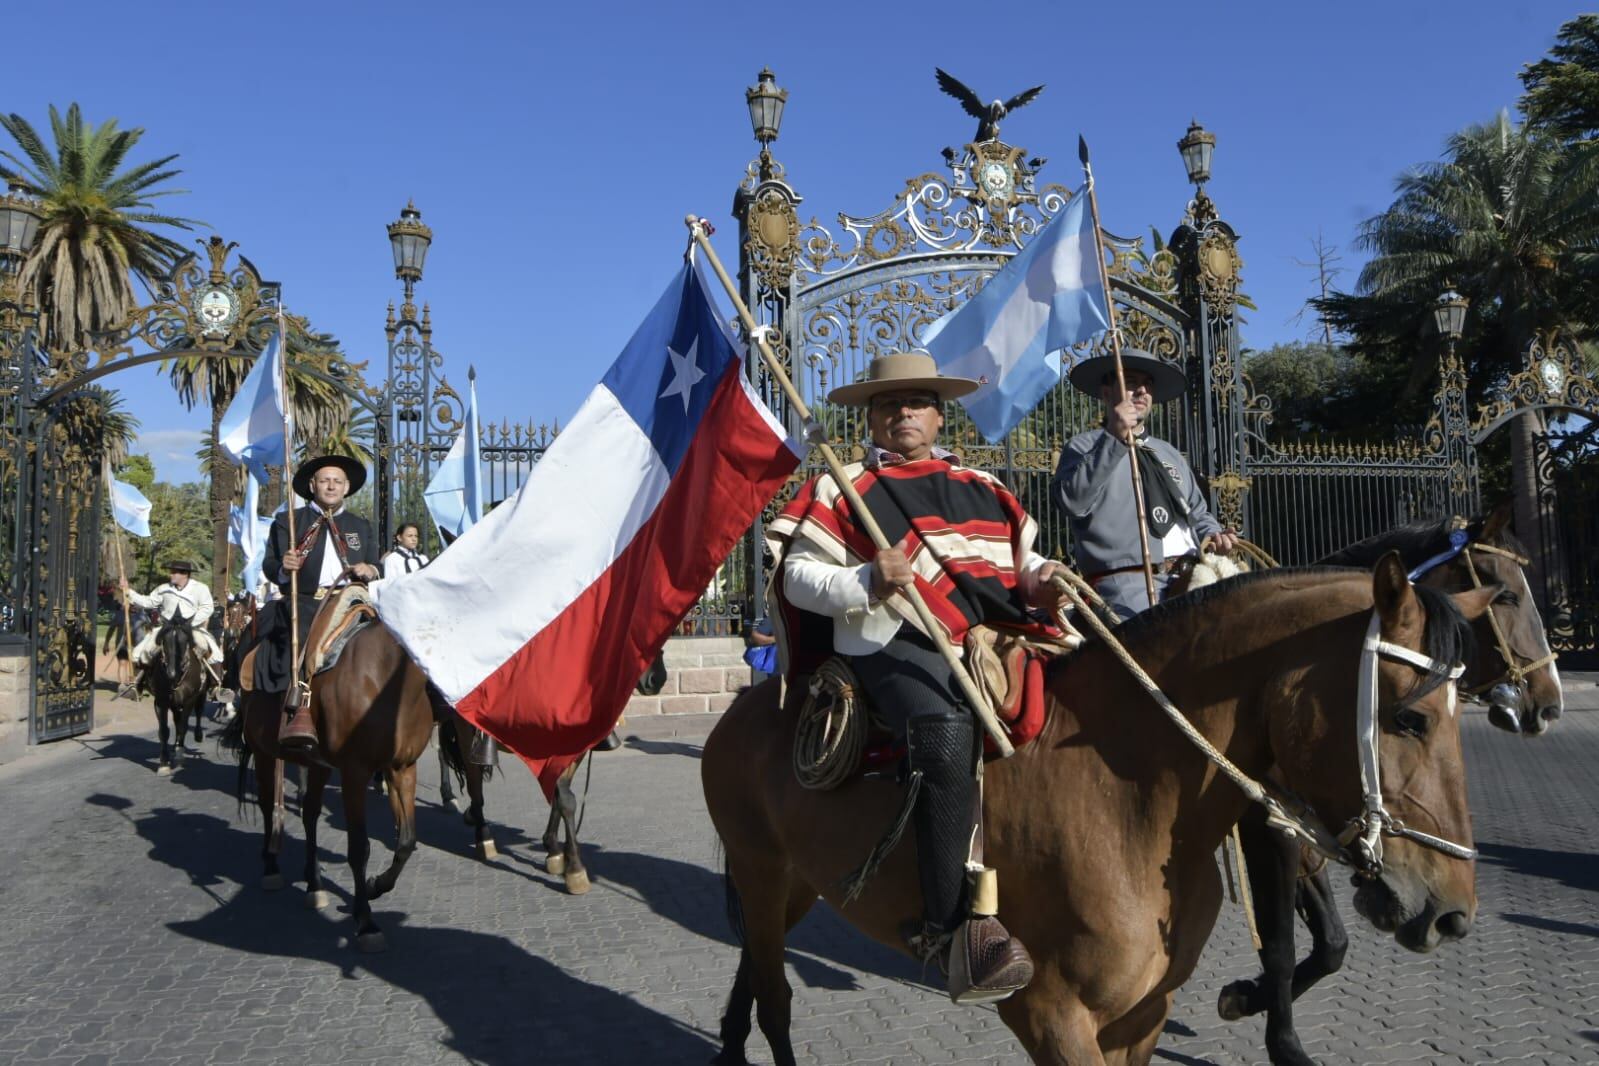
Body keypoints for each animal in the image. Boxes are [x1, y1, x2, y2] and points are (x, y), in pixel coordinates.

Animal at [147, 613, 209, 779]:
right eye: (164, 640)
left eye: (184, 641)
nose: (171, 673)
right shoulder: (161, 701)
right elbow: (164, 730)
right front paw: (164, 763)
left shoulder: (189, 700)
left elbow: (184, 726)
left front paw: (180, 755)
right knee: (177, 720)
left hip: (200, 694)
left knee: (198, 712)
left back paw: (197, 735)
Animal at [223, 613, 438, 952]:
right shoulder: (355, 773)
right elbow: (359, 848)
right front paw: (365, 921)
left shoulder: (402, 768)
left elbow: (406, 841)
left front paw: (375, 886)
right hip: (263, 751)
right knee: (269, 805)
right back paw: (271, 867)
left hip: (317, 765)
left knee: (310, 813)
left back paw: (314, 884)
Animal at [703, 559, 1496, 1066]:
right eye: (1409, 718)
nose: (1451, 913)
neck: (1130, 797)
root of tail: (751, 704)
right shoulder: (1049, 1015)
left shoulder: (1142, 1014)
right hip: (761, 872)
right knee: (775, 996)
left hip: (795, 885)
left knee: (754, 967)